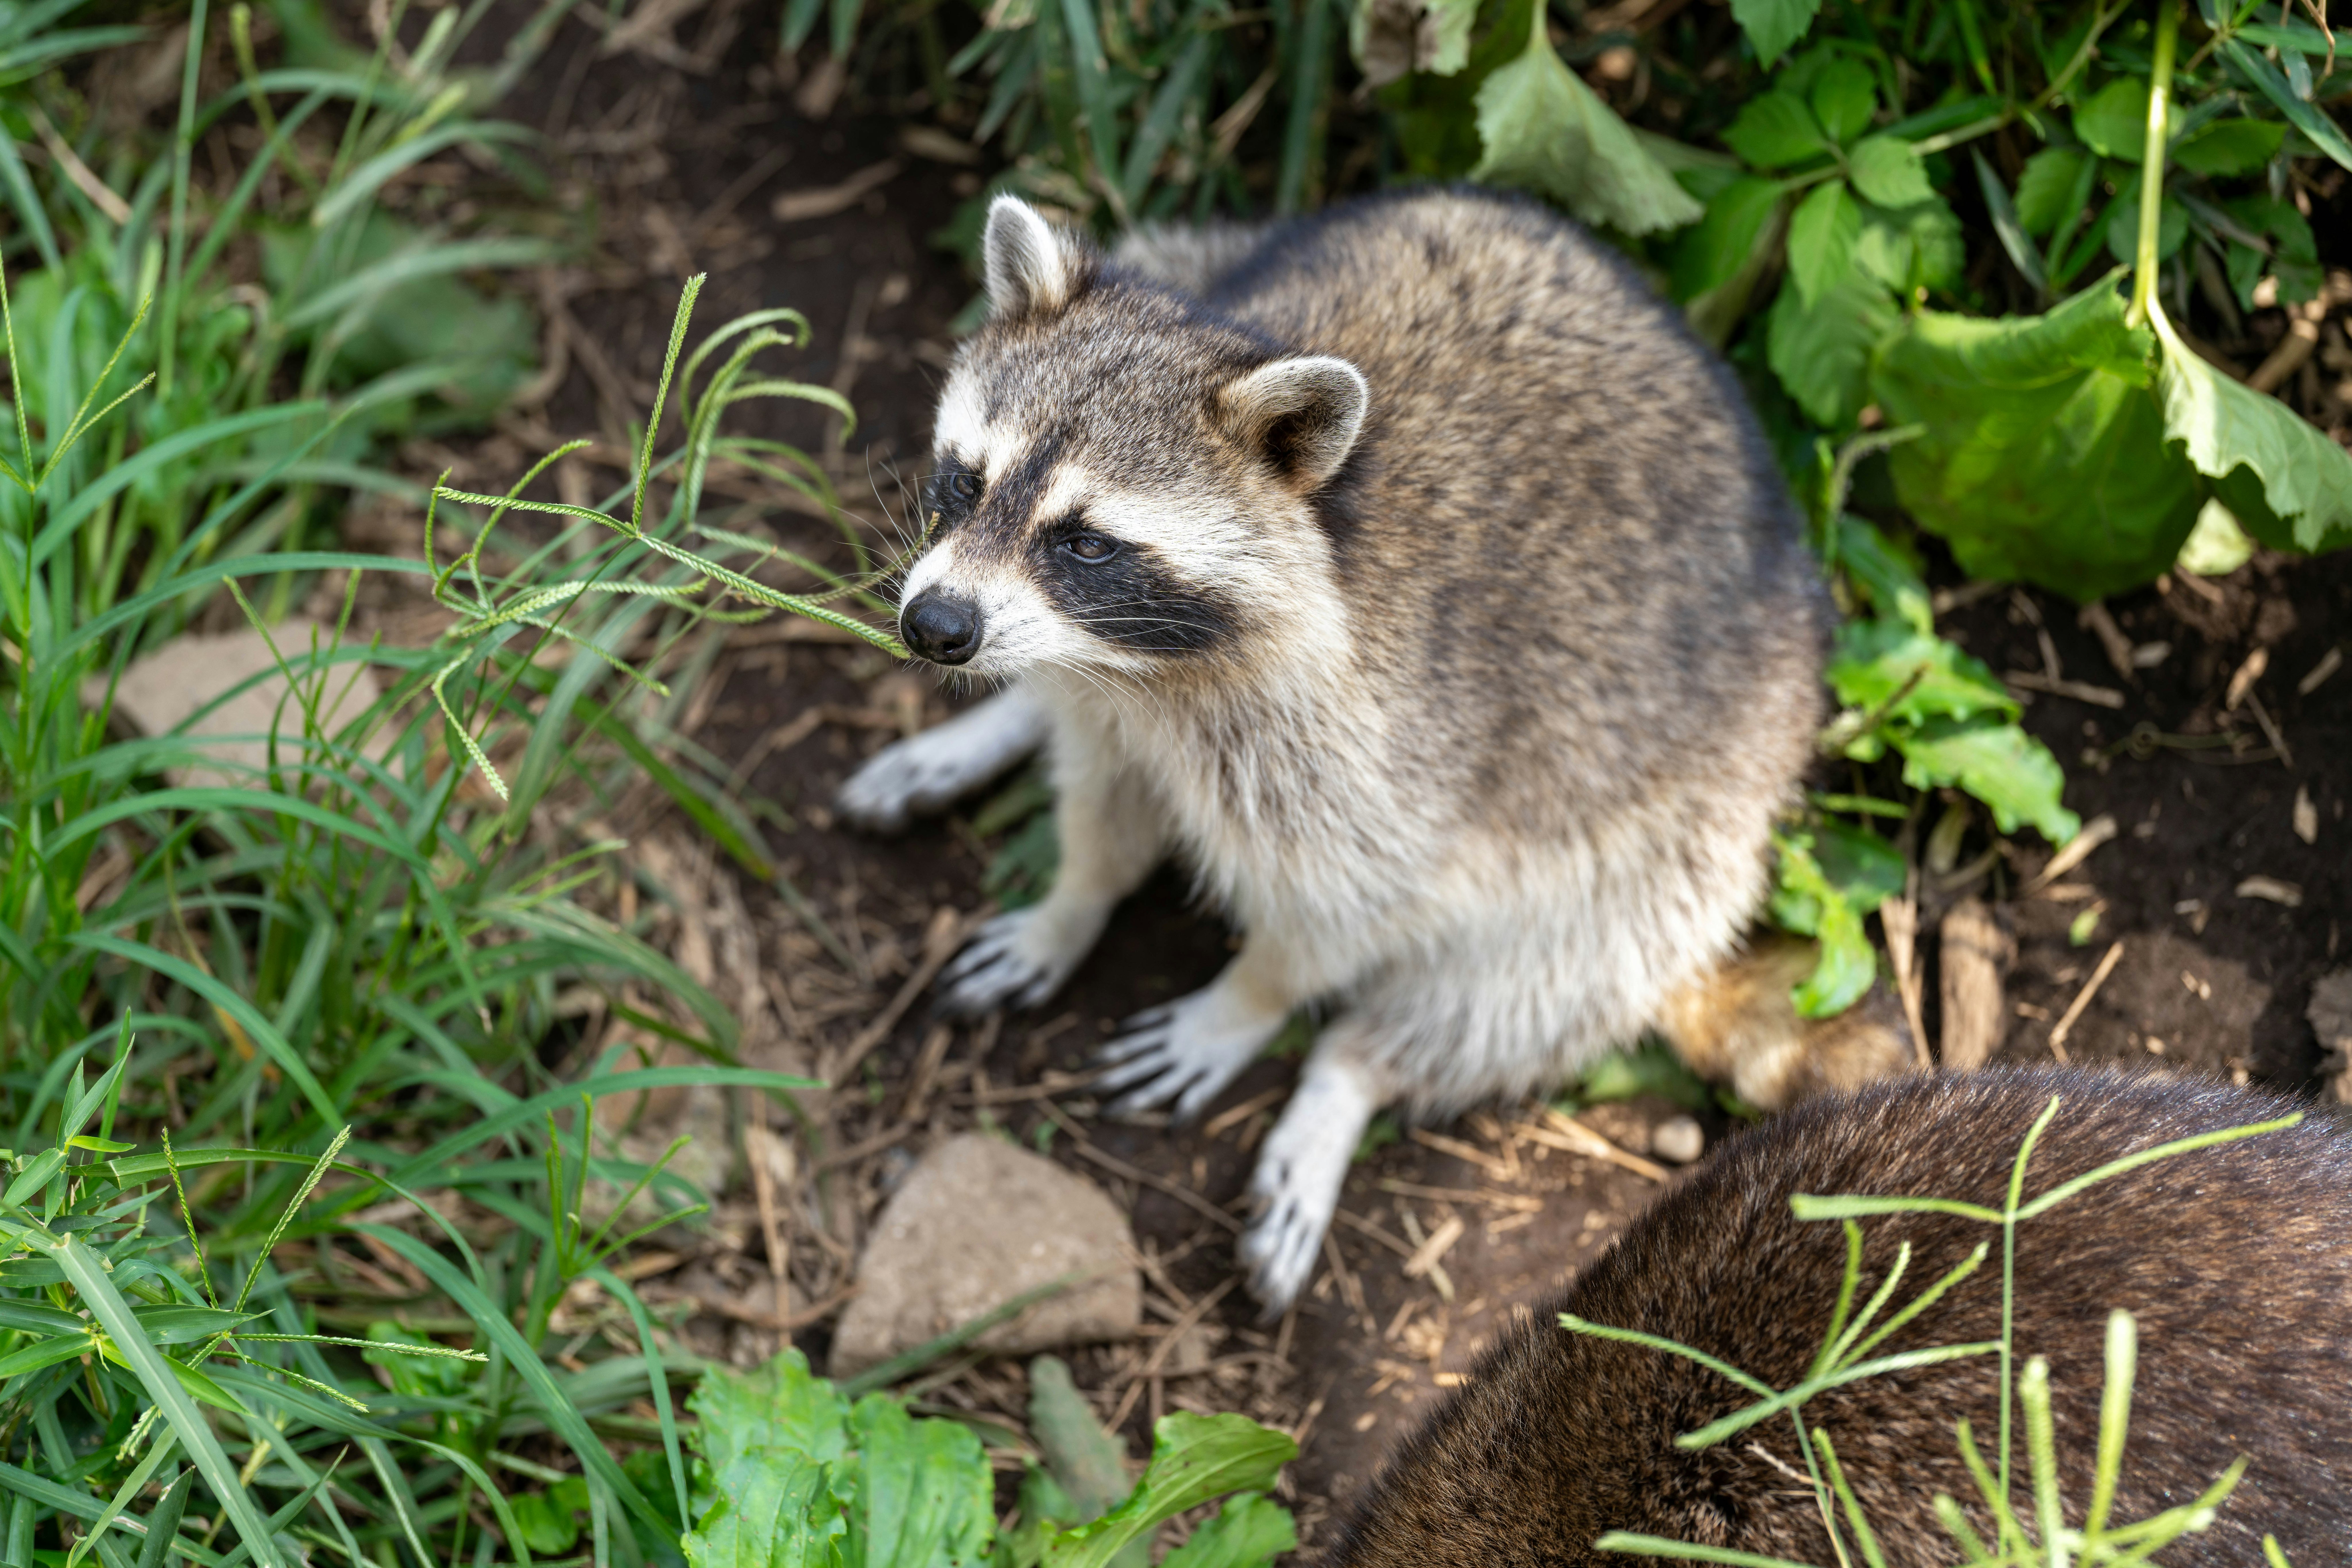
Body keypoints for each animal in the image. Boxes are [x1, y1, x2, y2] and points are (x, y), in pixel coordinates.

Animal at [837, 186, 1908, 1309]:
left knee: (1542, 979)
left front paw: (1247, 1002)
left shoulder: (1401, 742)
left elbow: (1348, 905)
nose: (935, 627)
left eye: (1085, 542)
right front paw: (1071, 904)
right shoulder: (1114, 707)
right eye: (966, 481)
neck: (1138, 668)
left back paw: (1348, 1074)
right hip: (1208, 244)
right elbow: (1099, 805)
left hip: (1692, 822)